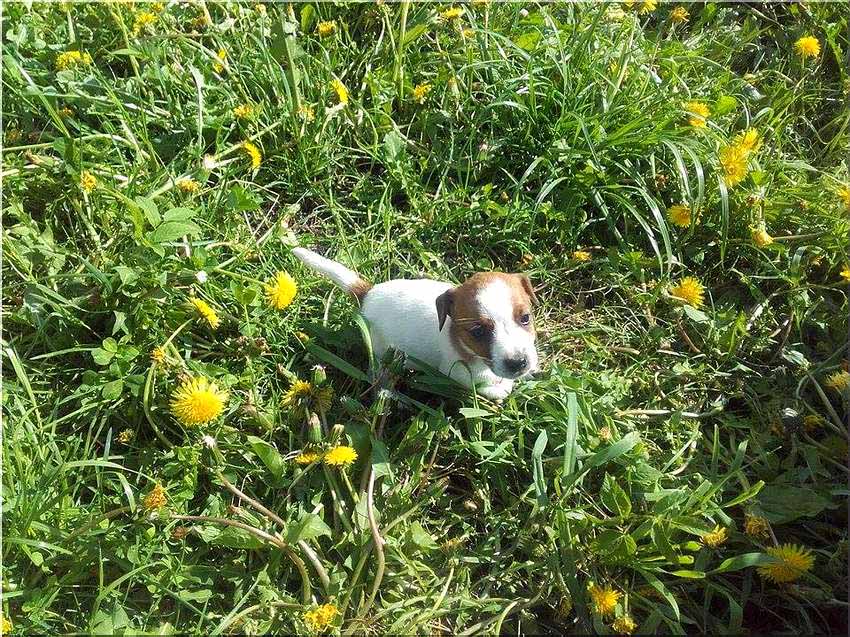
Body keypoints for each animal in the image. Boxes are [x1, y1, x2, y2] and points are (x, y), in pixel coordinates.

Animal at [292, 247, 539, 400]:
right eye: (478, 332)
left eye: (525, 318)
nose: (519, 363)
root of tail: (368, 293)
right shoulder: (453, 372)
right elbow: (478, 385)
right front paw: (499, 389)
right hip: (381, 353)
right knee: (378, 376)